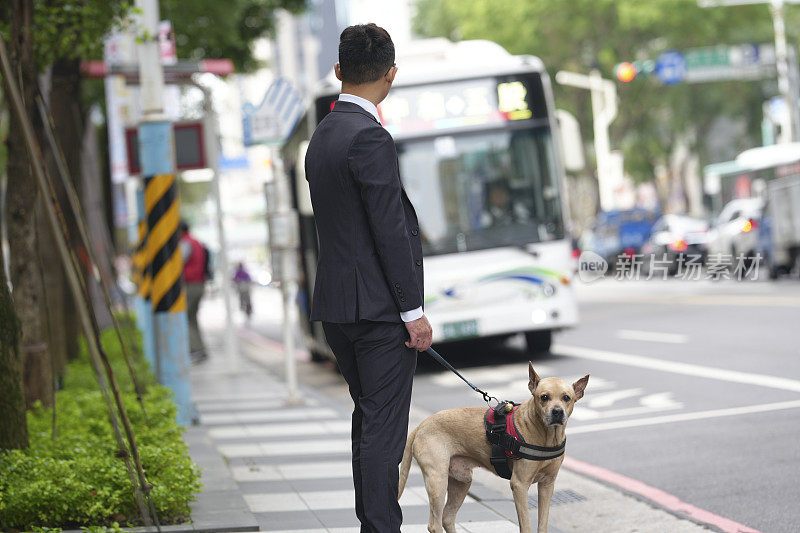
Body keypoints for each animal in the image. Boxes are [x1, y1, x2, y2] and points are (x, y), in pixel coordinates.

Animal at [398, 364, 588, 532]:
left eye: (566, 398)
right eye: (544, 397)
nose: (557, 412)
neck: (547, 436)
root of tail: (421, 425)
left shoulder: (547, 485)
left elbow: (542, 523)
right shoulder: (519, 485)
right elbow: (526, 524)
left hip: (461, 481)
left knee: (447, 517)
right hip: (438, 481)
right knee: (434, 524)